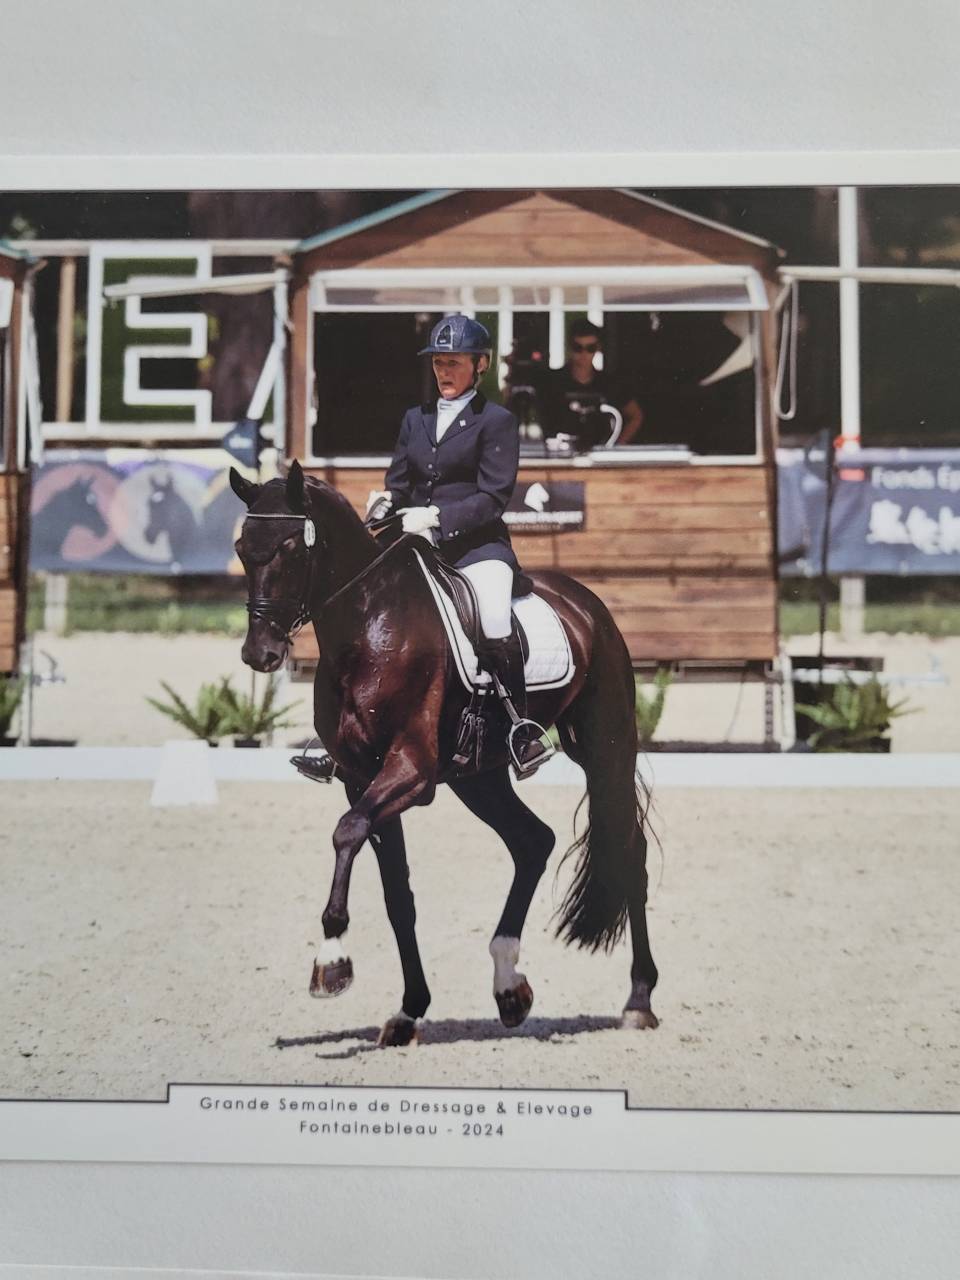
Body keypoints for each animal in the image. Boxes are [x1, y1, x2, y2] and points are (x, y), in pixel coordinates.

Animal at [230, 460, 658, 1047]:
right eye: (242, 548)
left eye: (292, 547)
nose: (260, 653)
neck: (369, 627)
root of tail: (587, 603)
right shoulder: (361, 778)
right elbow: (397, 895)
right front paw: (409, 1010)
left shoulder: (410, 772)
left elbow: (346, 832)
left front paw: (331, 962)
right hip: (479, 777)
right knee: (533, 842)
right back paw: (509, 986)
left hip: (604, 746)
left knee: (627, 849)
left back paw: (638, 1000)